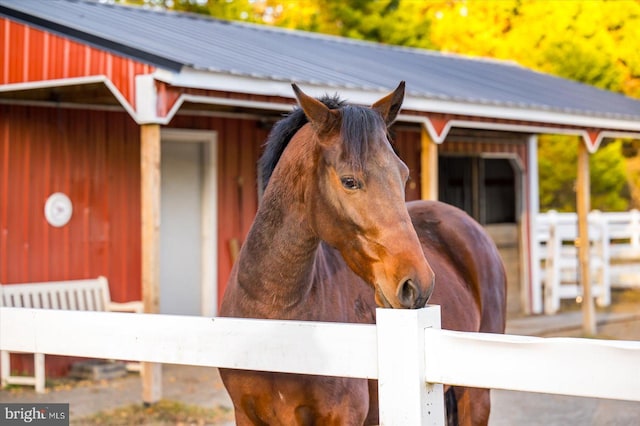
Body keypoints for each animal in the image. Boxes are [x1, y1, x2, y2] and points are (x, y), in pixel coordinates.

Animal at [220, 81, 504, 424]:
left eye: (404, 175)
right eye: (349, 181)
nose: (417, 284)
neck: (277, 324)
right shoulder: (245, 414)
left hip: (475, 397)